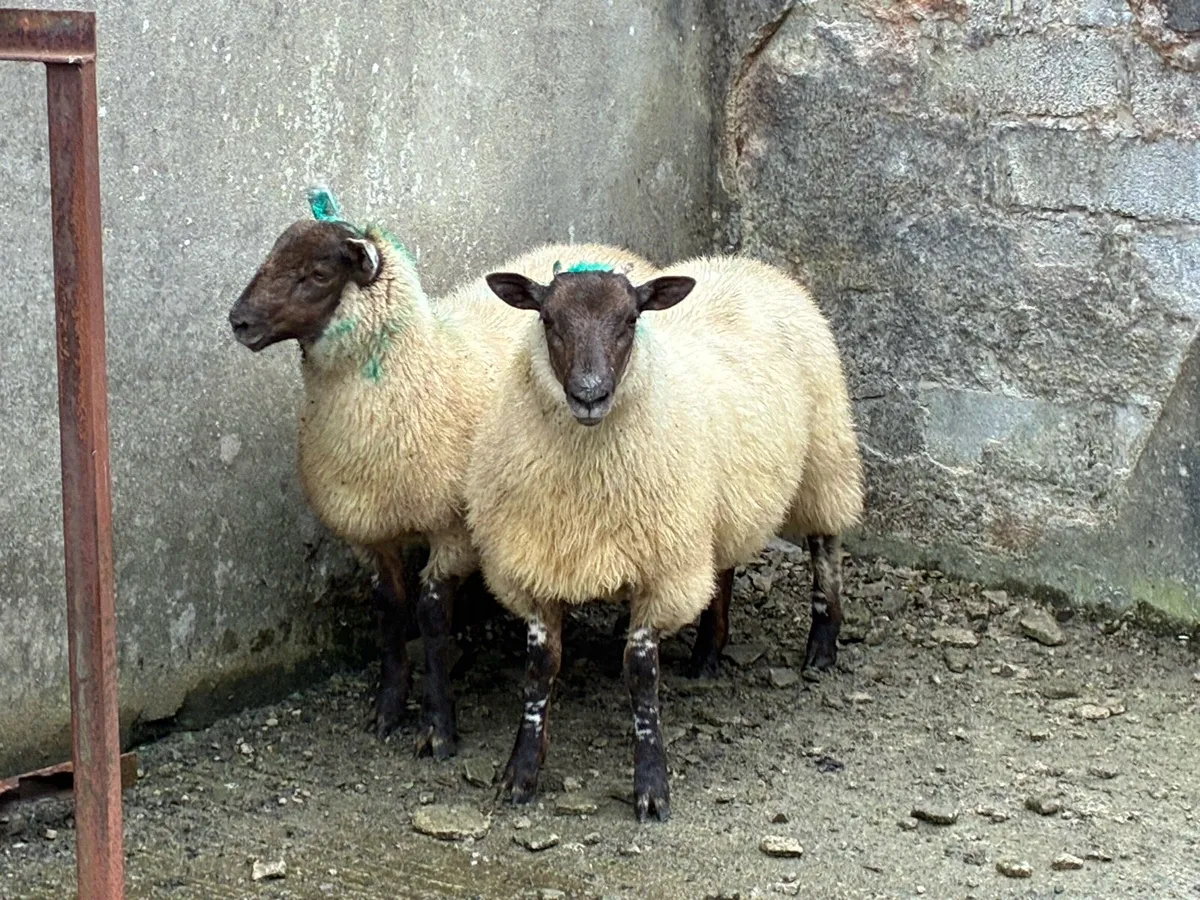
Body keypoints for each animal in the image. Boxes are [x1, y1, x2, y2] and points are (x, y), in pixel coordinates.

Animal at [227, 187, 659, 759]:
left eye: (318, 273)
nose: (239, 321)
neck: (417, 369)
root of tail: (607, 249)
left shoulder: (452, 529)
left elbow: (431, 618)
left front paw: (438, 726)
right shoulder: (371, 530)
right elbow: (389, 608)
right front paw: (388, 706)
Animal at [466, 256, 863, 821]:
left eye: (631, 319)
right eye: (547, 319)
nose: (590, 395)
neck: (585, 476)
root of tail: (748, 263)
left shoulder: (661, 570)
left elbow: (640, 676)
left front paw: (652, 785)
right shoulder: (537, 565)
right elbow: (540, 673)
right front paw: (520, 772)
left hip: (824, 455)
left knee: (824, 542)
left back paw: (822, 645)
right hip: (716, 502)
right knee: (722, 567)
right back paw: (707, 655)